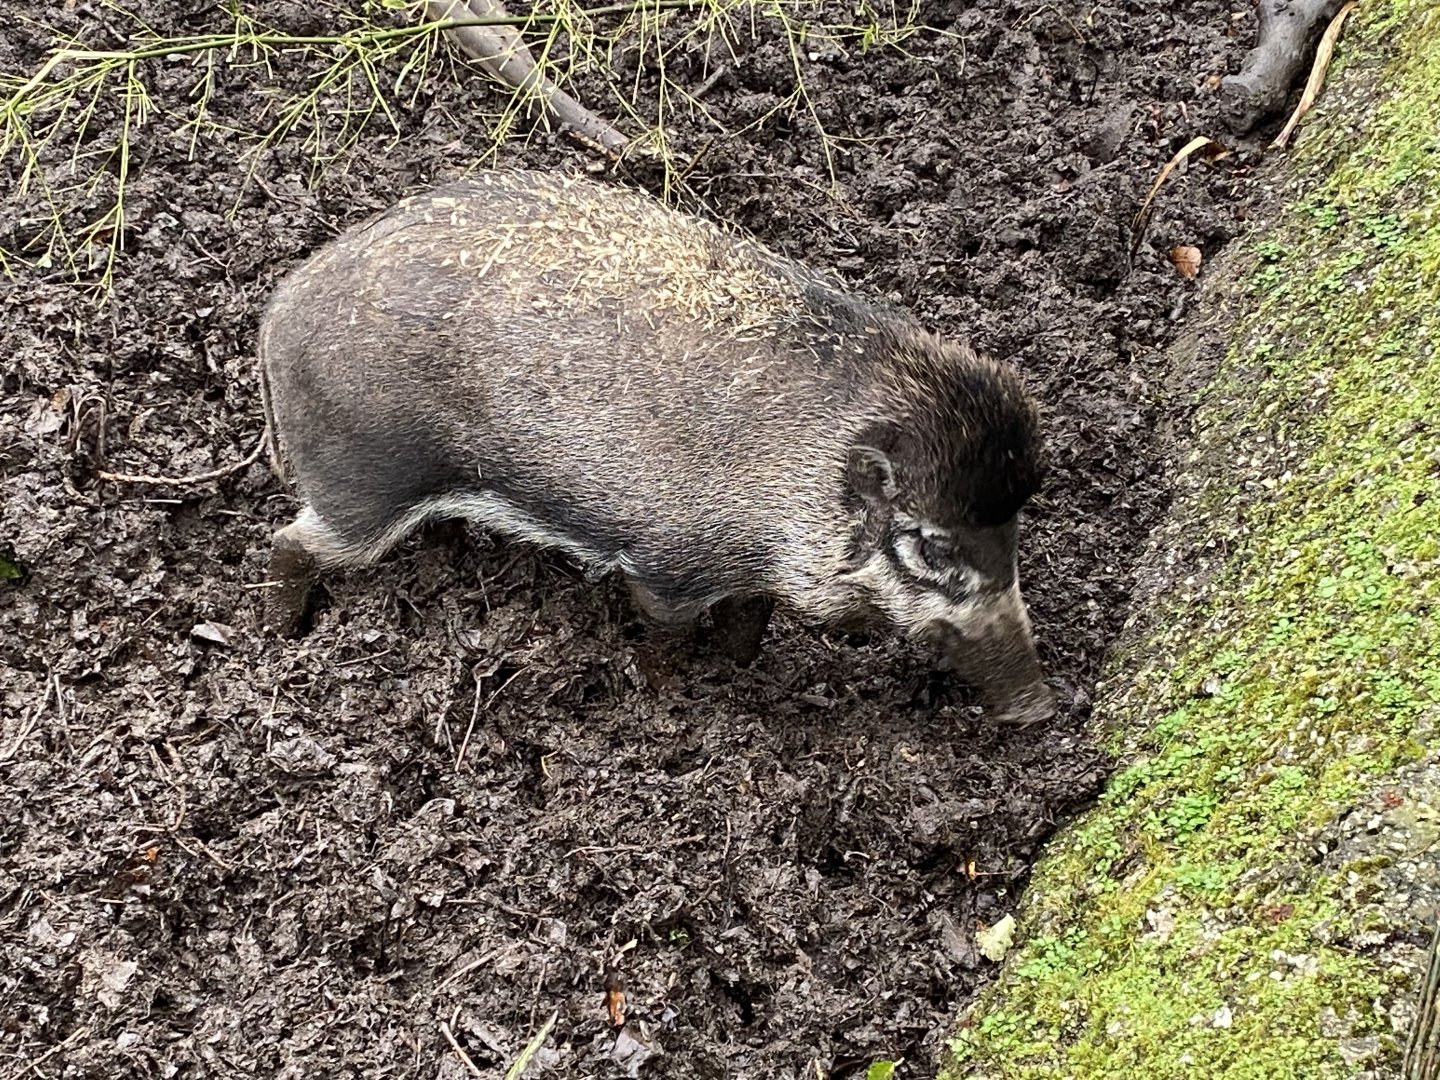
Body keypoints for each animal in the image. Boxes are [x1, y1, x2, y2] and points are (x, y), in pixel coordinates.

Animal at [257, 169, 1056, 725]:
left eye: (1013, 529)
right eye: (930, 546)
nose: (1040, 708)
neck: (799, 479)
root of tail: (281, 308)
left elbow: (748, 622)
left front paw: (741, 665)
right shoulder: (670, 564)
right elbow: (665, 634)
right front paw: (672, 693)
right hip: (361, 482)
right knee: (287, 542)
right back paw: (282, 633)